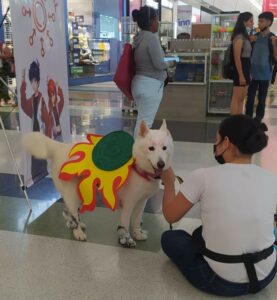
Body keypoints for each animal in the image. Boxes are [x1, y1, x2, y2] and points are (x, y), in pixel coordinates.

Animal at [22, 119, 172, 246]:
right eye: (151, 148)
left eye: (164, 148)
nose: (161, 164)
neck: (138, 165)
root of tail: (60, 147)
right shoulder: (128, 204)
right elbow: (124, 224)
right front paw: (126, 239)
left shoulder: (141, 202)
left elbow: (136, 220)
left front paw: (137, 233)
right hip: (73, 194)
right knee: (73, 213)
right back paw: (78, 232)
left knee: (71, 212)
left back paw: (75, 224)